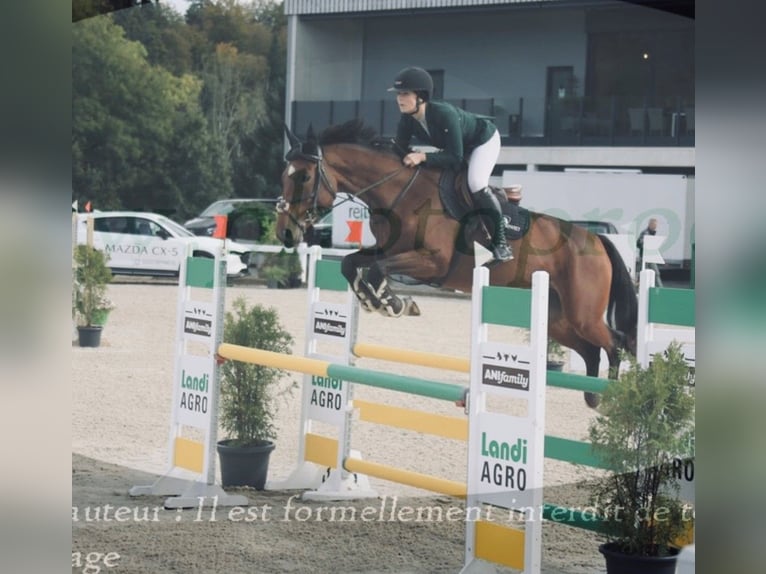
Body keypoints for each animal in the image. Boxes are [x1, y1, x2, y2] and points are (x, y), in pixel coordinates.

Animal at [276, 120, 636, 410]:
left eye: (305, 176)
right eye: (285, 175)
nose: (285, 232)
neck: (400, 192)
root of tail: (596, 239)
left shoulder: (432, 261)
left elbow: (378, 270)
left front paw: (394, 303)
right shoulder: (386, 249)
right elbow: (352, 264)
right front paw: (374, 299)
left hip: (582, 314)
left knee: (615, 342)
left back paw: (612, 397)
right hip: (559, 320)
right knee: (591, 350)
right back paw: (593, 397)